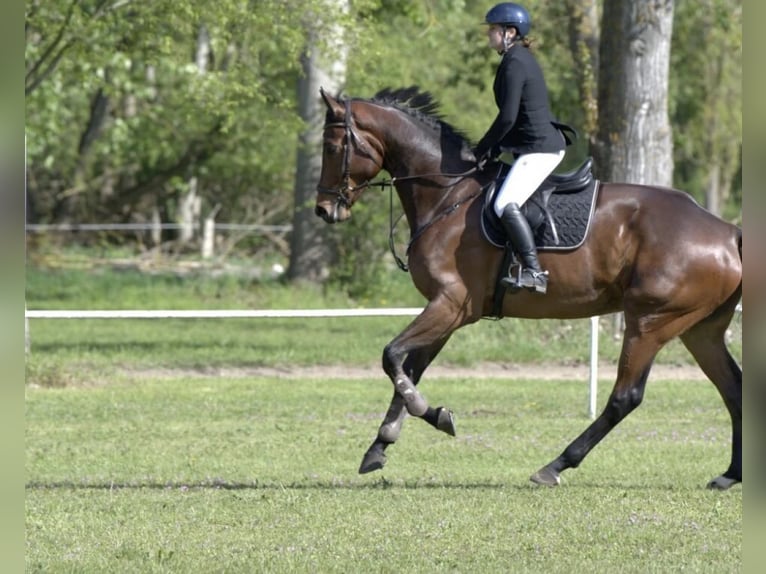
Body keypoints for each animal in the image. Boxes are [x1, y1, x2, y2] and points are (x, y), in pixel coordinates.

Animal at [312, 85, 744, 490]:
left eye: (332, 148)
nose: (324, 210)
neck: (447, 195)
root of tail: (727, 231)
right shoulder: (447, 312)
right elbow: (409, 367)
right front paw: (380, 445)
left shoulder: (451, 304)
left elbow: (392, 357)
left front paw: (433, 415)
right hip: (699, 329)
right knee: (734, 388)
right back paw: (730, 475)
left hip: (650, 323)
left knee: (625, 397)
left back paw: (555, 466)